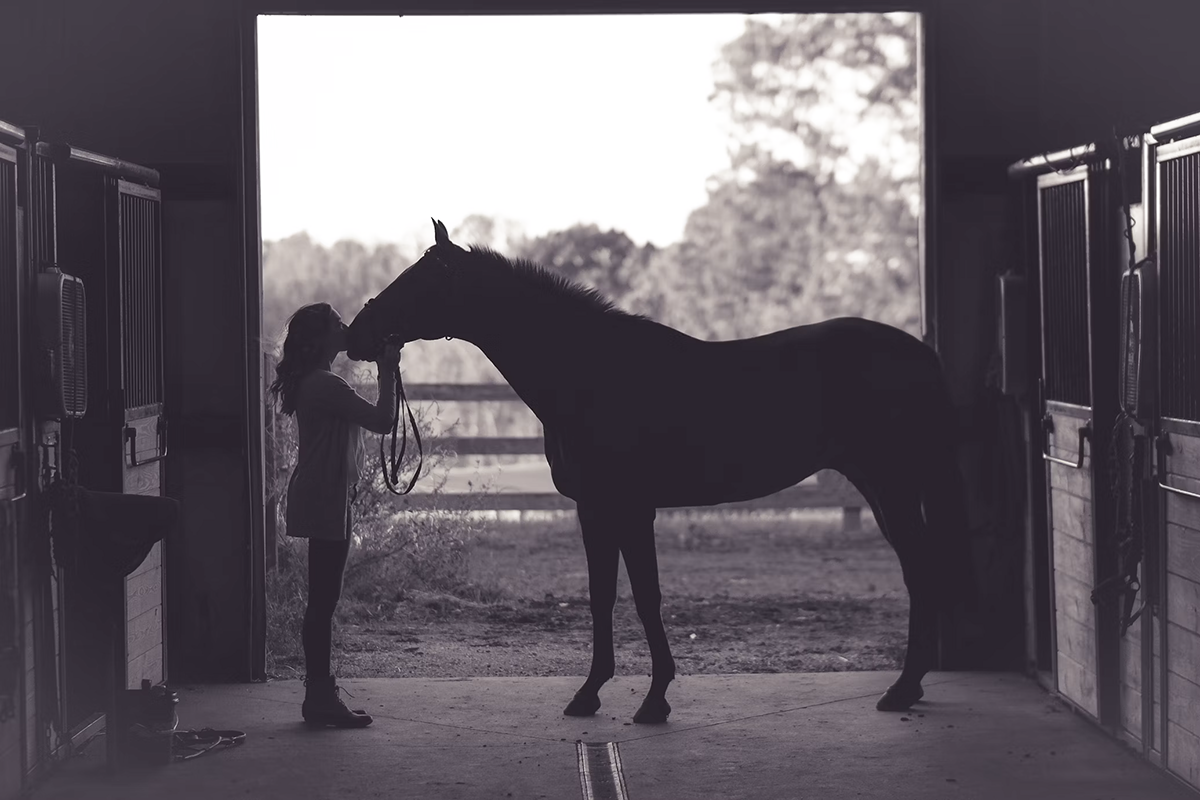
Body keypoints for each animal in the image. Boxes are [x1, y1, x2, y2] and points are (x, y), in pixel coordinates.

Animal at [343, 219, 969, 724]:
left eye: (417, 280)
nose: (355, 334)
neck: (590, 372)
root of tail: (921, 353)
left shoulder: (630, 506)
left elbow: (646, 595)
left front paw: (654, 699)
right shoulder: (593, 508)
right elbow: (601, 595)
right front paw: (590, 694)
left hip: (891, 484)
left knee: (922, 570)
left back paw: (902, 689)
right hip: (884, 488)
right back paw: (908, 688)